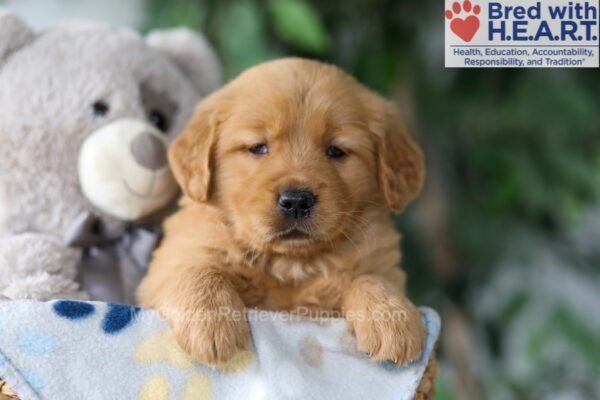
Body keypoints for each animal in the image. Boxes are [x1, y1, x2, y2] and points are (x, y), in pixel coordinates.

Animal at [137, 57, 426, 368]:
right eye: (257, 147)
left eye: (336, 150)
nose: (296, 200)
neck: (289, 264)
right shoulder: (168, 265)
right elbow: (196, 270)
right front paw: (210, 323)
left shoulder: (383, 265)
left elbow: (370, 278)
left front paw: (392, 318)